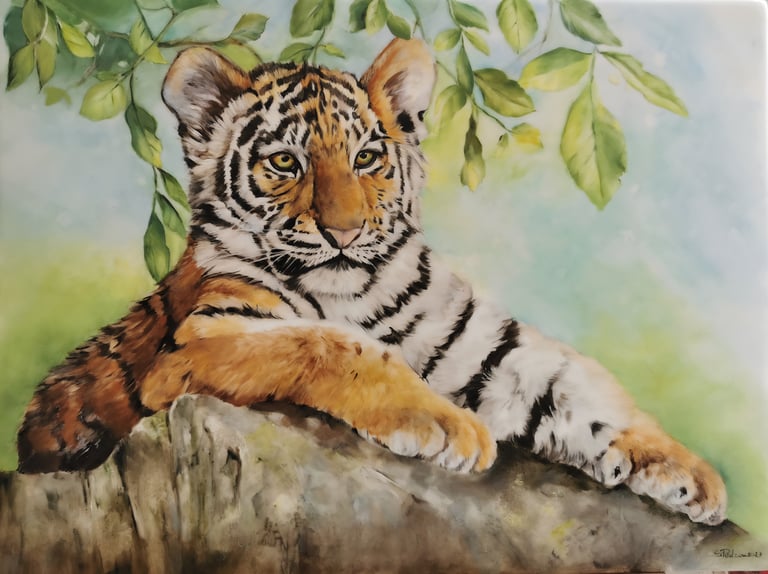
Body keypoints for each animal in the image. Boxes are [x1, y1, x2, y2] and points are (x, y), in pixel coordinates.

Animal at [16, 38, 726, 526]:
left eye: (367, 157)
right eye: (285, 162)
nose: (344, 231)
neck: (351, 292)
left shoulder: (485, 344)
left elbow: (578, 383)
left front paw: (685, 472)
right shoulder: (204, 341)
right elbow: (327, 344)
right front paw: (447, 427)